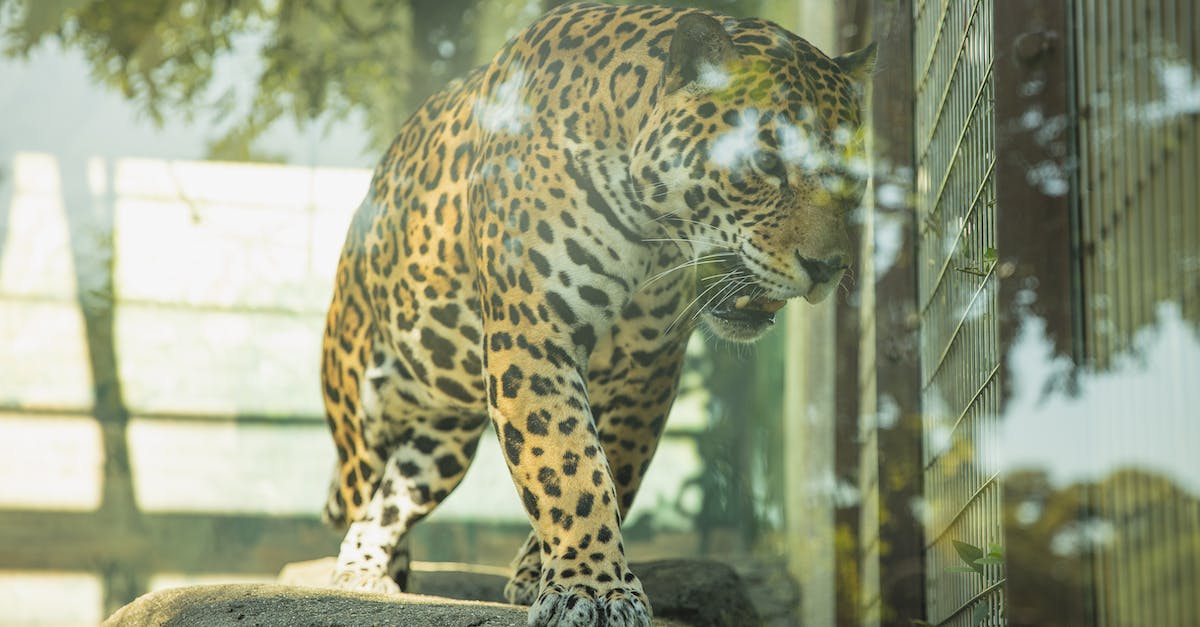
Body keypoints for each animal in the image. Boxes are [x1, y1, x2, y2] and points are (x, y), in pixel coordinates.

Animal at [319, 3, 875, 625]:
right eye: (765, 161)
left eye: (854, 177)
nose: (827, 268)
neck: (650, 228)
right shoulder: (533, 333)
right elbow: (565, 461)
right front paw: (591, 585)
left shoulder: (649, 363)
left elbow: (614, 465)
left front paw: (542, 573)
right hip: (360, 408)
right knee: (363, 493)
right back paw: (367, 573)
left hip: (443, 444)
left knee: (395, 497)